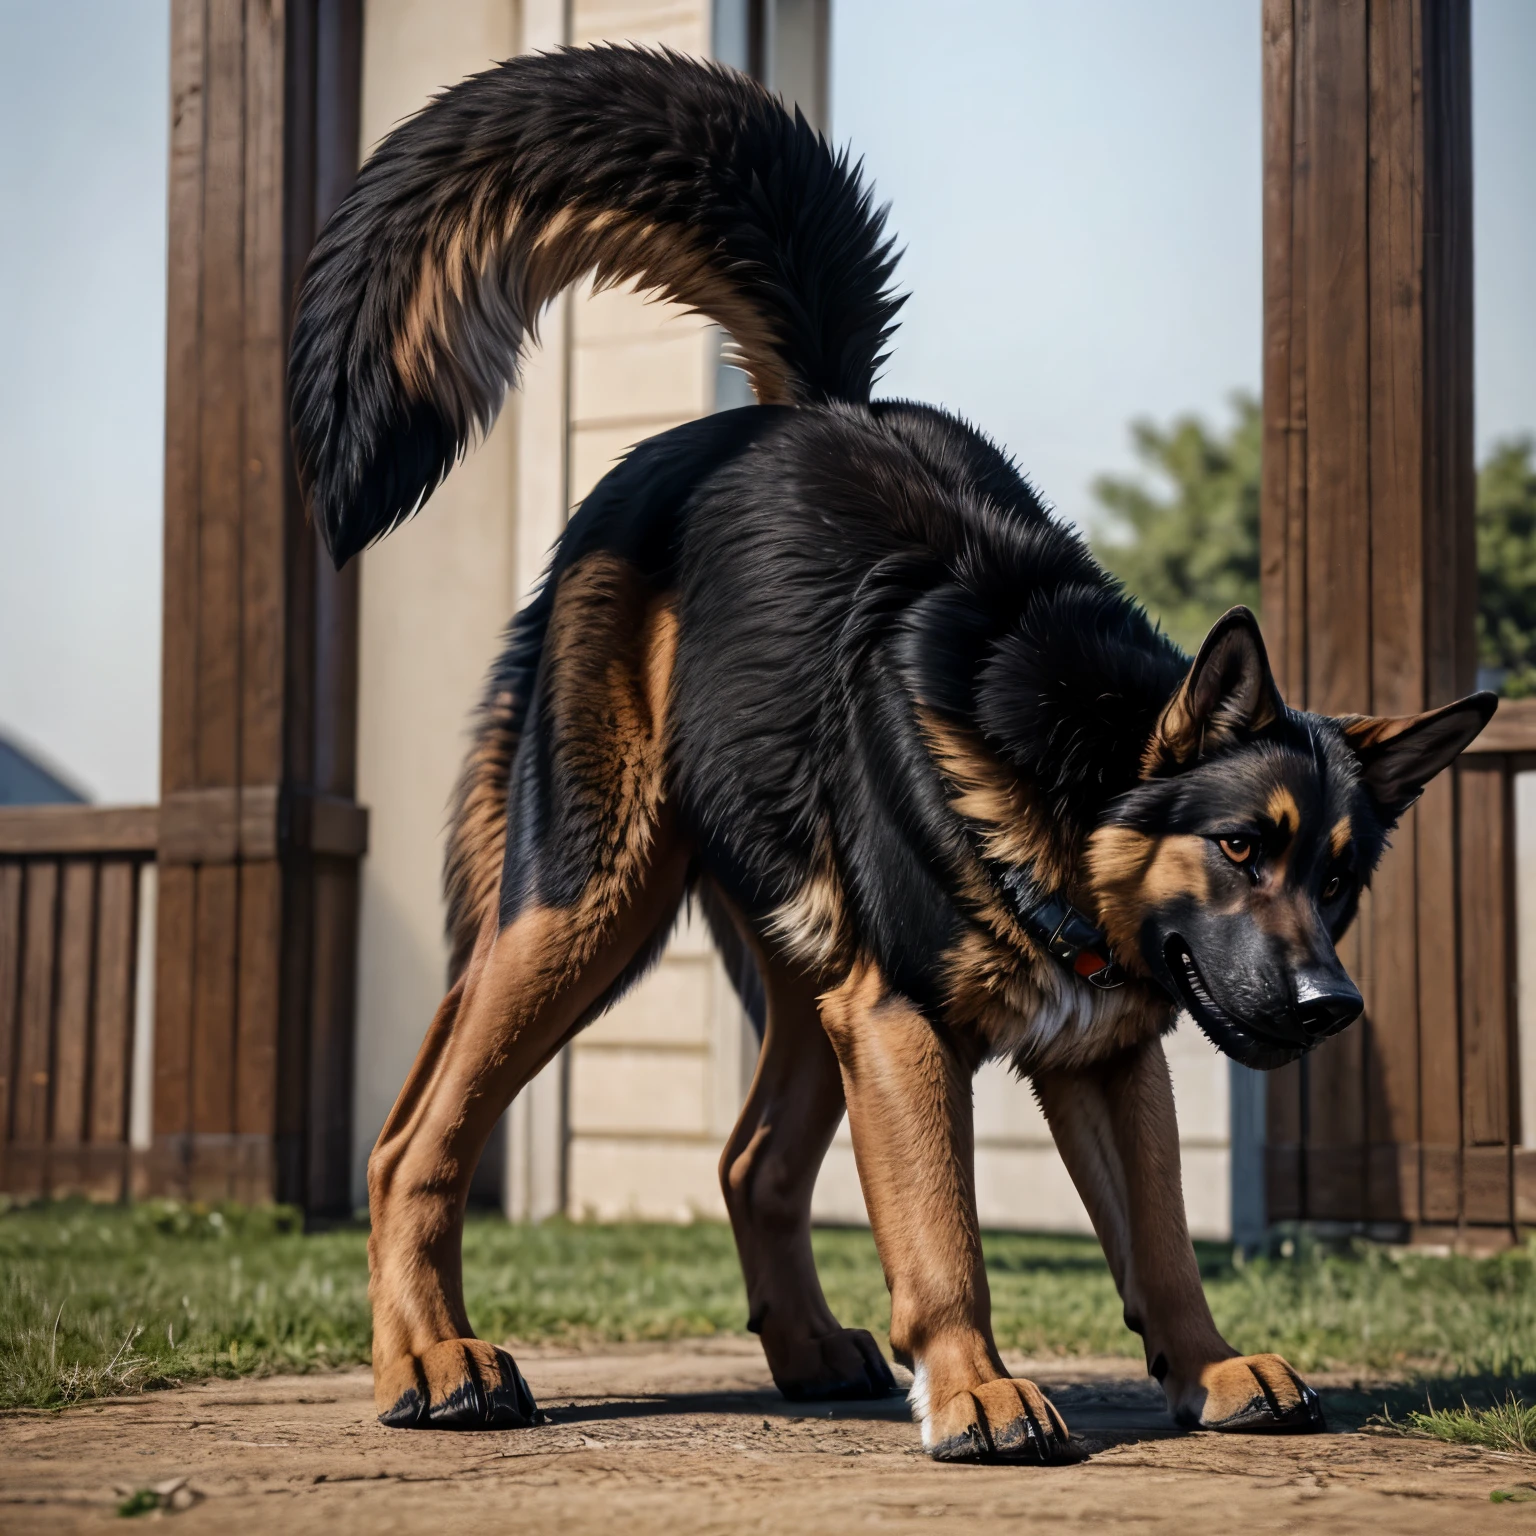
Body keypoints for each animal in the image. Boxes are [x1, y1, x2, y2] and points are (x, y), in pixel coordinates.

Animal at [290, 48, 1499, 1462]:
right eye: (1243, 846)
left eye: (1343, 881)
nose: (1330, 1009)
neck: (1065, 772)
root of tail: (782, 417)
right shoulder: (905, 1023)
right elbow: (944, 1233)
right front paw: (976, 1388)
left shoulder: (1097, 1055)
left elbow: (1159, 1239)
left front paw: (1206, 1369)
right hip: (590, 908)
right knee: (412, 1141)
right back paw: (434, 1359)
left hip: (800, 978)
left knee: (750, 1162)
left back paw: (805, 1350)